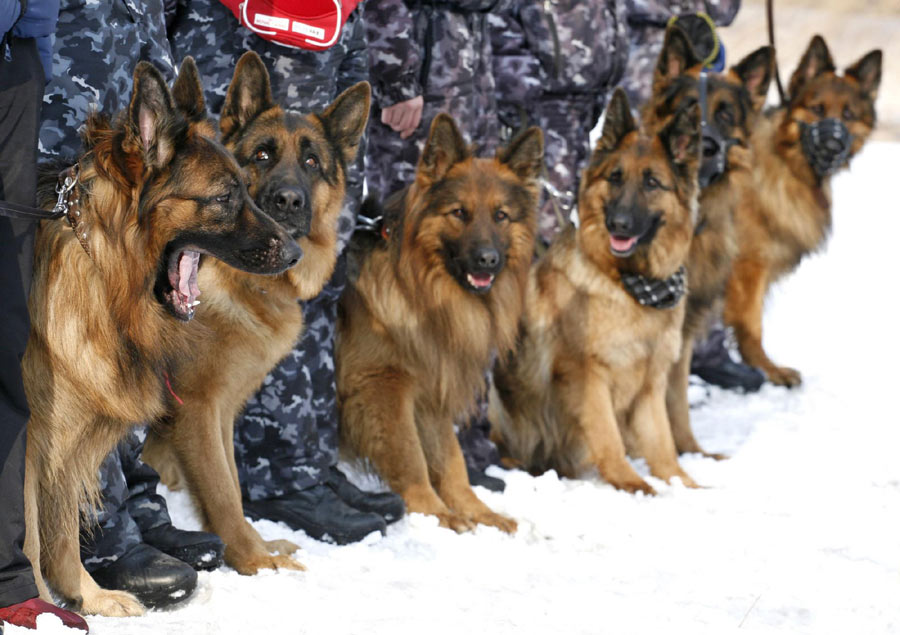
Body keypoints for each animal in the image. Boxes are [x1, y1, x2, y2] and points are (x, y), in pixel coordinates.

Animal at [20, 59, 302, 616]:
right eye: (225, 197)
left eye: (246, 186)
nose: (295, 252)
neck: (100, 263)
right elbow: (28, 537)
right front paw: (38, 609)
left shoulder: (64, 436)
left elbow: (60, 531)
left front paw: (87, 596)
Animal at [144, 52, 370, 572]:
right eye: (262, 155)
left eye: (312, 162)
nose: (287, 201)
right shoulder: (198, 410)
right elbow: (223, 493)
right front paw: (255, 562)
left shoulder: (223, 411)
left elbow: (233, 484)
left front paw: (259, 548)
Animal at [336, 113, 540, 532]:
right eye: (459, 212)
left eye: (501, 216)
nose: (488, 260)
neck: (412, 282)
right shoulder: (382, 386)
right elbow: (409, 454)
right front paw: (435, 513)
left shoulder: (432, 383)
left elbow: (451, 457)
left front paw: (478, 512)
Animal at [488, 88, 700, 496]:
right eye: (615, 178)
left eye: (652, 183)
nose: (618, 224)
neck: (627, 283)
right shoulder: (587, 375)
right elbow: (608, 437)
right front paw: (633, 484)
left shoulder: (651, 383)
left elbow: (663, 443)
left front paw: (685, 486)